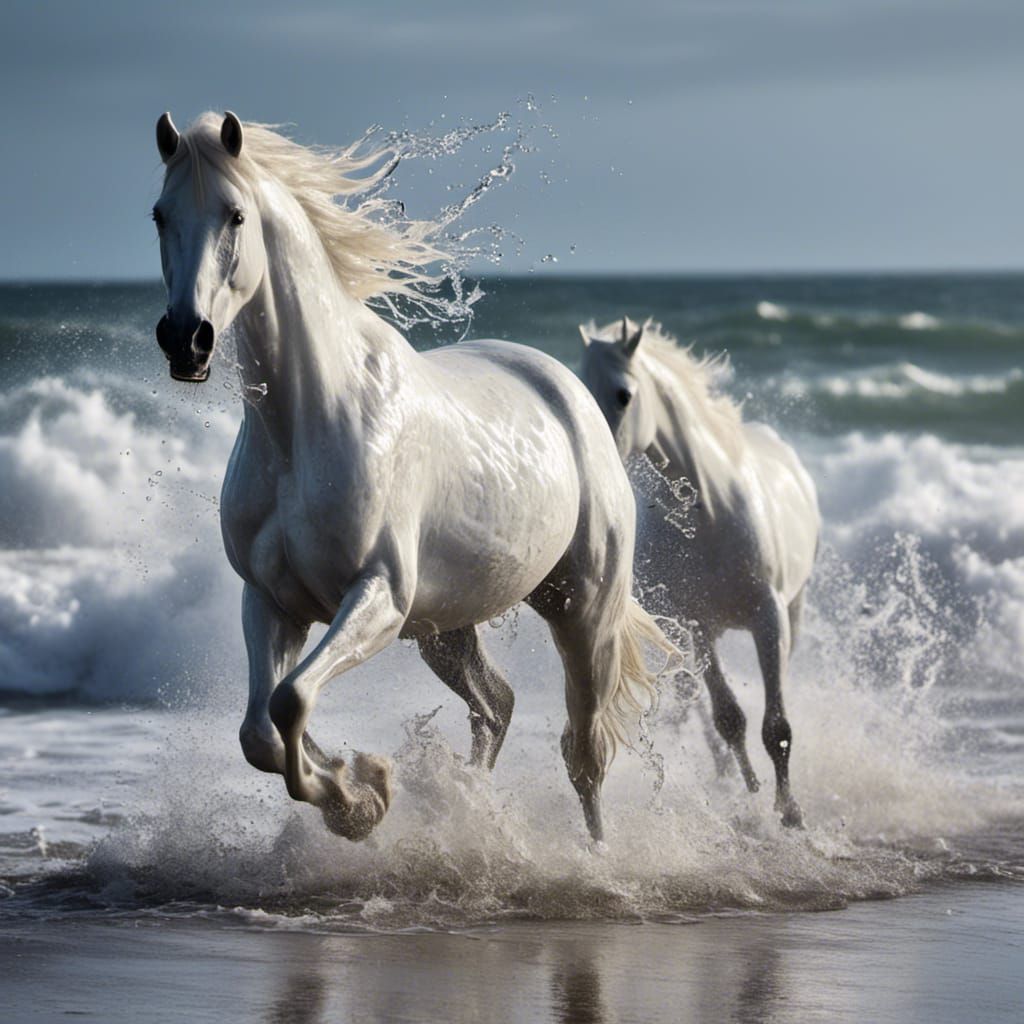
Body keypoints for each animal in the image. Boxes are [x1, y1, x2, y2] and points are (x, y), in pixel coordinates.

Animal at [150, 111, 669, 843]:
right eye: (160, 215)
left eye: (235, 215)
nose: (185, 339)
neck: (309, 421)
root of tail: (569, 389)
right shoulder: (272, 601)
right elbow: (260, 729)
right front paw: (355, 783)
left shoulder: (380, 597)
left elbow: (290, 698)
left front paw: (359, 800)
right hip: (445, 627)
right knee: (497, 704)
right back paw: (469, 806)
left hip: (582, 611)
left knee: (584, 752)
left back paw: (596, 856)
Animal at [580, 317, 820, 827]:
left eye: (624, 394)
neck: (711, 513)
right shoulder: (699, 623)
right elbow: (728, 717)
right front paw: (749, 790)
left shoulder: (768, 617)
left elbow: (777, 725)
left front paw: (789, 812)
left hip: (796, 606)